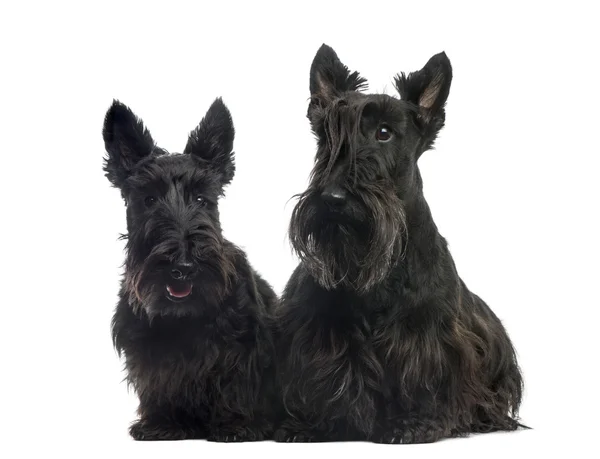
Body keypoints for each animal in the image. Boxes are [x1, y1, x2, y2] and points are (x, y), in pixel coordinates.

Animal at [103, 97, 278, 442]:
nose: (183, 267)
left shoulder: (242, 348)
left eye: (201, 199)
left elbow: (236, 383)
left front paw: (236, 424)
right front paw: (161, 423)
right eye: (149, 199)